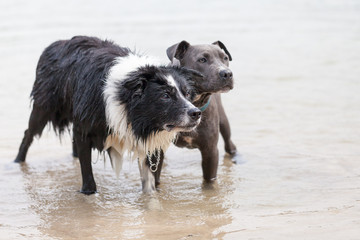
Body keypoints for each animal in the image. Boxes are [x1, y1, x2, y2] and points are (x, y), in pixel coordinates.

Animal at [14, 36, 202, 195]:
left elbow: (151, 181)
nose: (196, 113)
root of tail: (56, 43)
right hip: (44, 107)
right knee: (28, 133)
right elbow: (87, 173)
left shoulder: (153, 138)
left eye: (187, 93)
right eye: (165, 96)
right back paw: (17, 161)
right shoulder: (85, 130)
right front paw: (88, 193)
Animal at [148, 40, 238, 185]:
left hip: (224, 123)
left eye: (225, 58)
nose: (227, 73)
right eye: (202, 59)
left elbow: (209, 182)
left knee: (229, 143)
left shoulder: (210, 151)